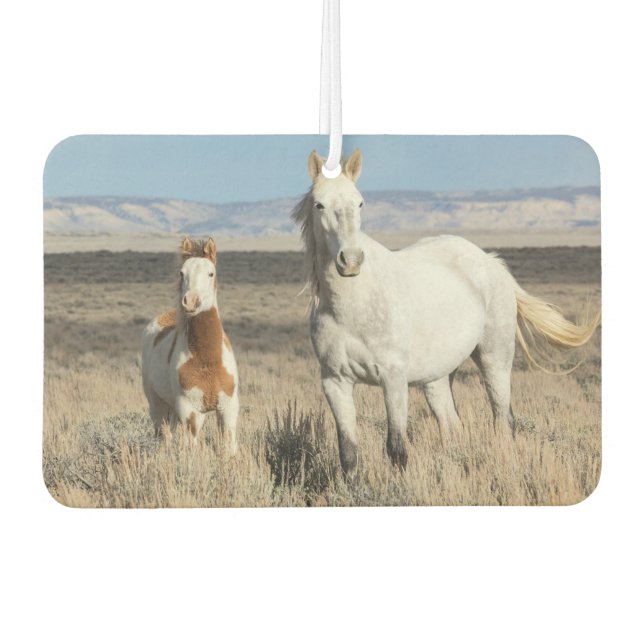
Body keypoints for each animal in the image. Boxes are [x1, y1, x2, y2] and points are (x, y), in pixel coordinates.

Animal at [141, 237, 240, 453]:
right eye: (182, 272)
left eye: (211, 273)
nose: (191, 302)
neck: (207, 360)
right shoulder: (191, 412)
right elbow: (192, 448)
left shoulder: (228, 409)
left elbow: (229, 447)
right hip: (158, 407)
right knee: (164, 437)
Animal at [292, 149, 600, 475]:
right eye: (319, 204)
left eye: (360, 202)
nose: (350, 261)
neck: (352, 307)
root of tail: (491, 262)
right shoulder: (335, 383)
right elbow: (349, 455)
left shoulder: (393, 378)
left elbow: (396, 449)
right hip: (438, 377)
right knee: (453, 427)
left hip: (495, 359)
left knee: (504, 421)